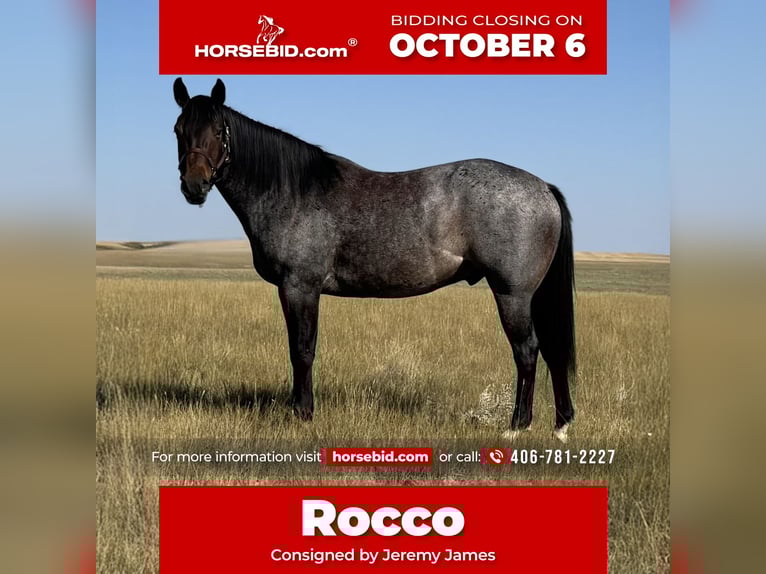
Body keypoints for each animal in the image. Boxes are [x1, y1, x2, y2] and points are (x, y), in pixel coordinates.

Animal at [172, 78, 576, 442]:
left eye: (218, 131)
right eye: (178, 130)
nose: (194, 186)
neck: (294, 192)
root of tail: (543, 188)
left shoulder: (299, 287)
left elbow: (302, 350)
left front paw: (302, 414)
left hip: (512, 294)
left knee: (527, 351)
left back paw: (518, 426)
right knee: (552, 351)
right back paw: (561, 424)